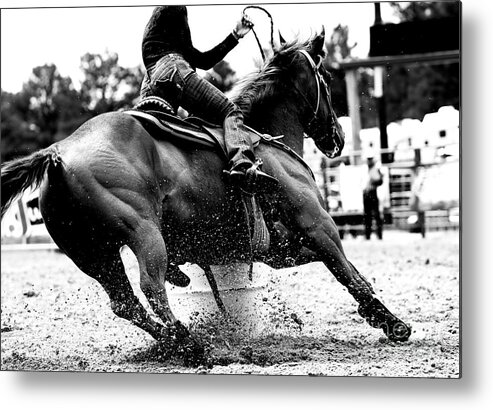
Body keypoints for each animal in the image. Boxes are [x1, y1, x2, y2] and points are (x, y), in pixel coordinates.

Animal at [0, 32, 410, 366]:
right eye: (324, 77)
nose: (337, 138)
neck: (262, 140)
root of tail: (57, 154)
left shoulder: (278, 248)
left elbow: (341, 269)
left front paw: (377, 315)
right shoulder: (318, 224)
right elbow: (347, 272)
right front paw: (393, 324)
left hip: (93, 254)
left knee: (125, 302)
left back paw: (176, 342)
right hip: (144, 235)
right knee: (151, 288)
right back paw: (192, 347)